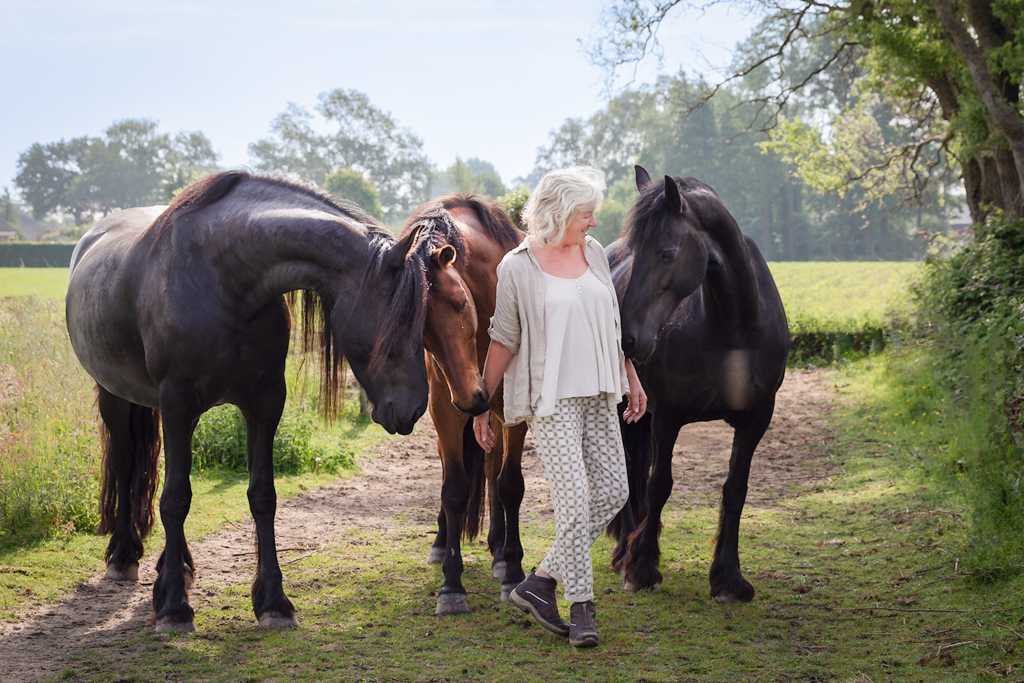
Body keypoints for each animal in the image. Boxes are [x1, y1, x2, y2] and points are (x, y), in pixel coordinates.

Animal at [65, 170, 430, 633]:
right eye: (400, 318)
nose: (414, 407)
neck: (225, 280)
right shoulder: (178, 404)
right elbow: (175, 498)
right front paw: (173, 608)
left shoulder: (266, 402)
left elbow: (262, 495)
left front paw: (273, 601)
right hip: (115, 395)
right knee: (128, 462)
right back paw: (125, 555)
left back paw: (177, 565)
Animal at [399, 195, 530, 615]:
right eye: (418, 329)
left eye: (459, 303)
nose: (472, 398)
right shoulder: (445, 410)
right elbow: (453, 488)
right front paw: (451, 586)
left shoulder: (512, 412)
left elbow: (509, 485)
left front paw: (513, 571)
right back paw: (443, 544)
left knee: (492, 471)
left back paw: (500, 552)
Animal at [606, 165, 789, 603]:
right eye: (635, 252)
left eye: (667, 253)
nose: (625, 339)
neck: (733, 328)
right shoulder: (668, 416)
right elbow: (659, 484)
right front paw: (642, 567)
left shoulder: (758, 418)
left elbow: (735, 489)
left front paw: (728, 578)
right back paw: (625, 548)